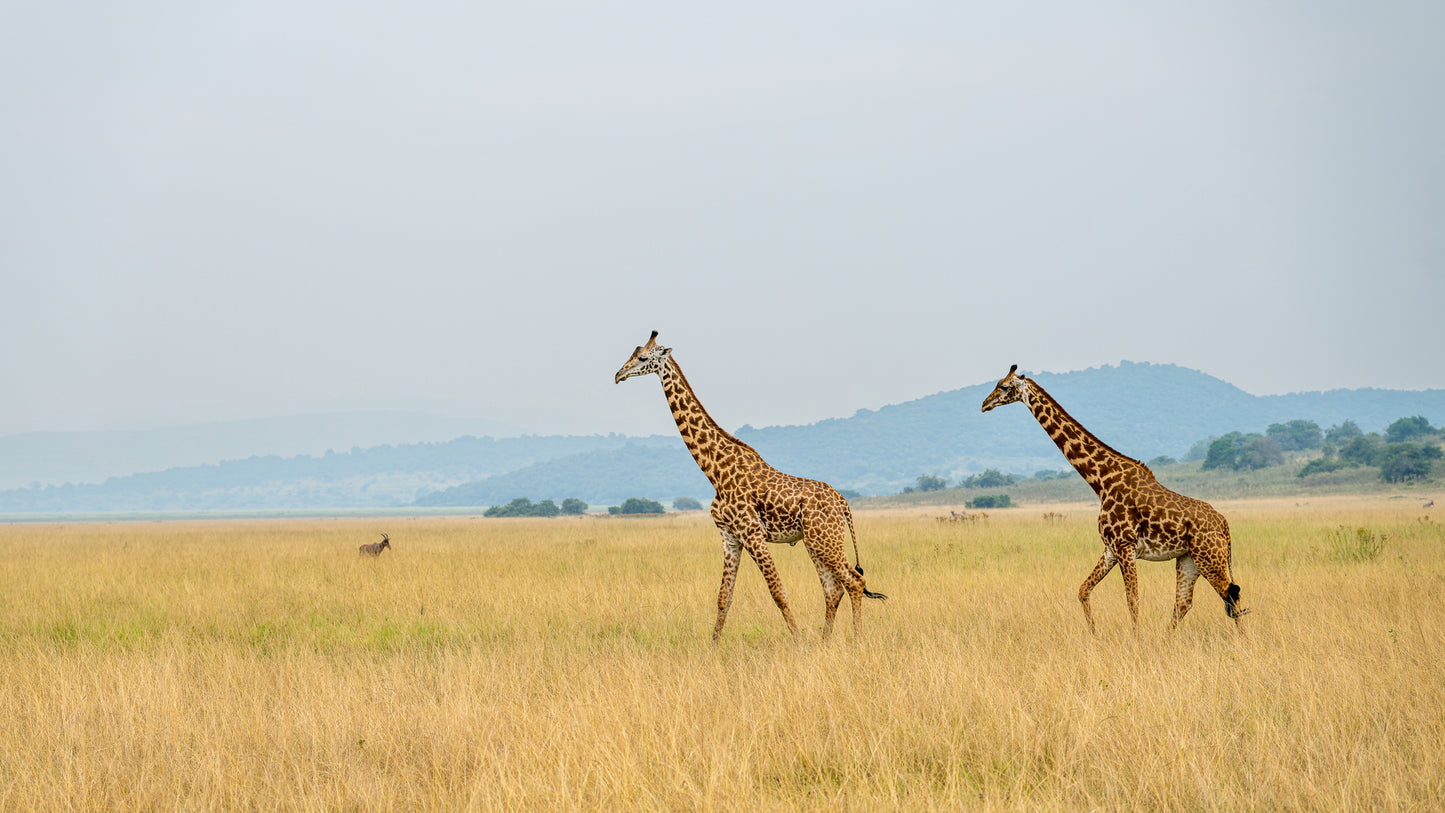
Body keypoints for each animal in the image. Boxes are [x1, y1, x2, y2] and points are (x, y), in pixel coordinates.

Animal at [615, 330, 884, 644]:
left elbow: (778, 593)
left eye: (643, 357)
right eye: (632, 354)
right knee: (833, 588)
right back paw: (825, 642)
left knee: (854, 580)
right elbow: (723, 597)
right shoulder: (730, 537)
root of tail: (843, 503)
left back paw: (856, 639)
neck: (714, 471)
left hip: (825, 540)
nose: (618, 374)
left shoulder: (752, 533)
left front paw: (799, 643)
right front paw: (713, 647)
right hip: (815, 541)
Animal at [982, 363, 1254, 635]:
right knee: (1184, 602)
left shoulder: (1125, 545)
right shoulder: (1110, 548)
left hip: (1209, 557)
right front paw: (1094, 634)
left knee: (1230, 594)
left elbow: (1132, 598)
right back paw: (1165, 640)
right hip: (1189, 559)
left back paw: (1242, 641)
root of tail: (1225, 525)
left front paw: (1135, 640)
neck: (1102, 481)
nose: (985, 404)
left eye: (1004, 386)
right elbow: (1083, 590)